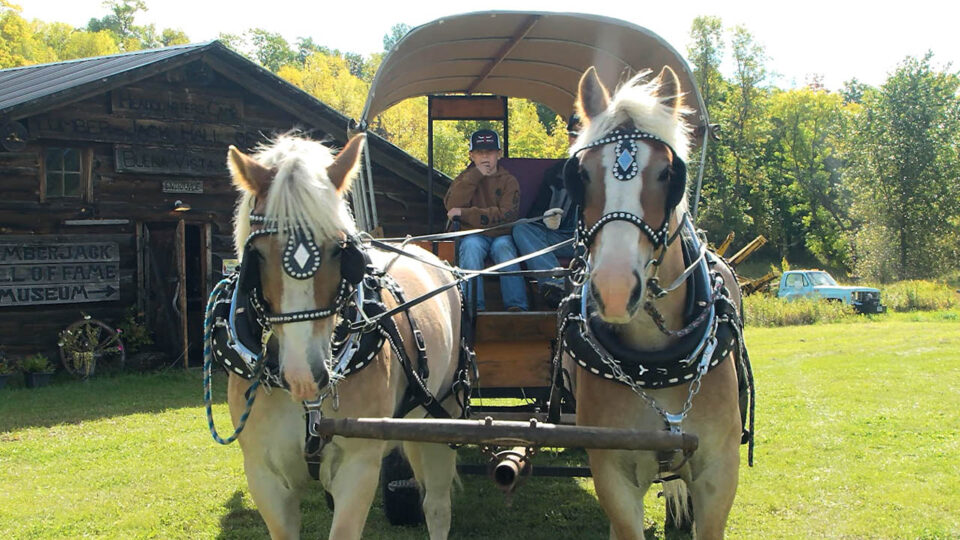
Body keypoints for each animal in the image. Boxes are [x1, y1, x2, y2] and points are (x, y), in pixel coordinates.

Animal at [220, 134, 461, 540]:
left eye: (338, 250)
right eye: (258, 254)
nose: (304, 374)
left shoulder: (358, 467)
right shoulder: (265, 476)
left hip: (442, 416)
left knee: (438, 508)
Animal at [561, 66, 748, 539]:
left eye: (667, 173)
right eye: (582, 175)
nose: (612, 289)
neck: (655, 364)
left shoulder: (720, 472)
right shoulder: (612, 471)